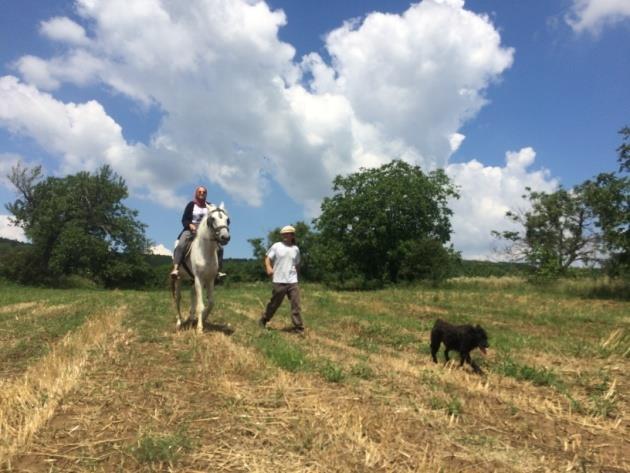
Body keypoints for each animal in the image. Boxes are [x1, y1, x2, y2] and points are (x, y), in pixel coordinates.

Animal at [172, 203, 231, 332]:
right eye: (212, 219)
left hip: (192, 279)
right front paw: (199, 328)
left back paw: (190, 318)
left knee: (192, 294)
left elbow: (211, 303)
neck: (205, 251)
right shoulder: (199, 278)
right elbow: (201, 305)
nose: (225, 237)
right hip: (179, 278)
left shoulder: (210, 280)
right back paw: (179, 321)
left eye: (227, 220)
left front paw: (203, 319)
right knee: (178, 298)